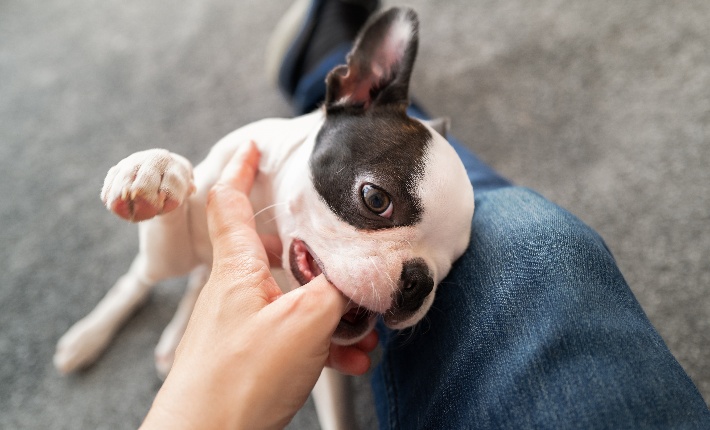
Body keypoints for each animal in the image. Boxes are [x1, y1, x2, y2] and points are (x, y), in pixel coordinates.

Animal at [55, 7, 476, 430]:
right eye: (375, 199)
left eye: (450, 264)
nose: (419, 283)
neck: (267, 223)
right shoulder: (179, 242)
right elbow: (174, 195)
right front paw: (155, 167)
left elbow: (338, 416)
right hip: (159, 266)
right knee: (139, 279)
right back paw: (88, 337)